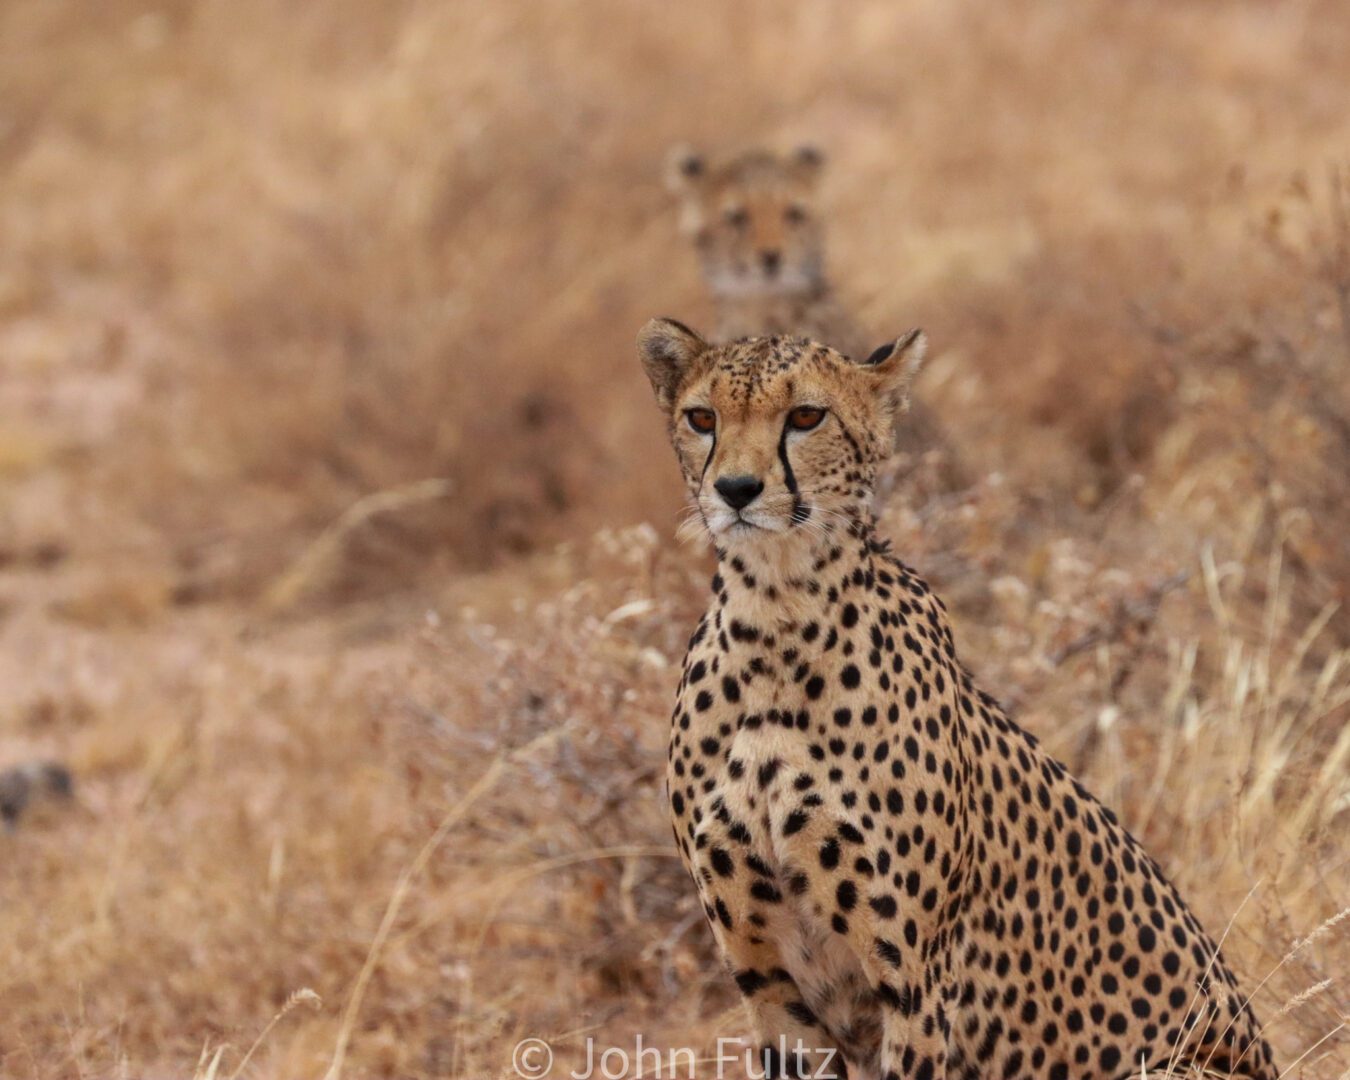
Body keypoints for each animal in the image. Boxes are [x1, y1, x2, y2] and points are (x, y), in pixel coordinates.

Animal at [634, 321, 1274, 1080]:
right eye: (703, 419)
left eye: (806, 416)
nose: (735, 489)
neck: (776, 615)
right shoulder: (766, 980)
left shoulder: (914, 979)